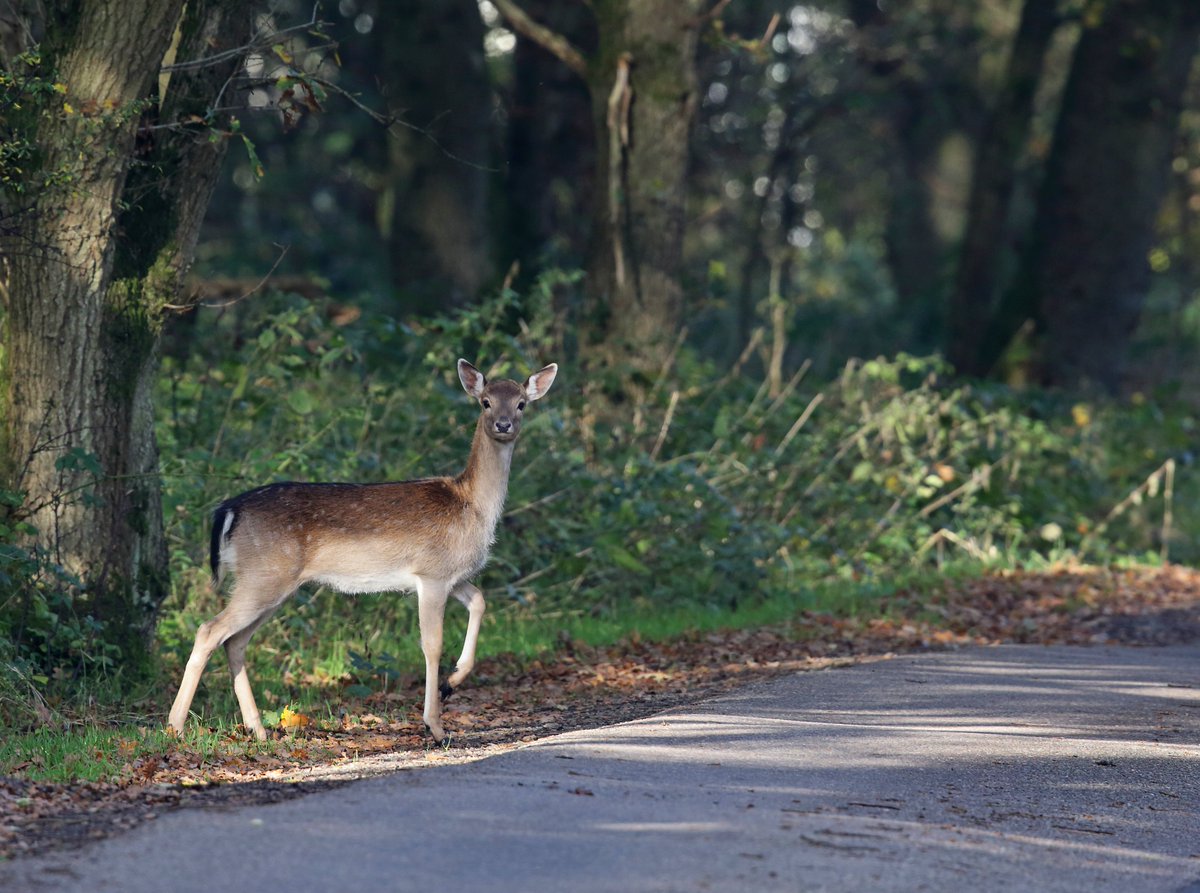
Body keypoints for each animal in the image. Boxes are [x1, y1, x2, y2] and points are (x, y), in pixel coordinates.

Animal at [168, 360, 556, 744]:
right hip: (264, 575)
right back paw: (175, 726)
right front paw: (434, 725)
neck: (471, 506)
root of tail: (229, 510)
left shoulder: (453, 575)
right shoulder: (431, 572)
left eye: (521, 403)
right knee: (209, 631)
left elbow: (480, 601)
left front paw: (451, 682)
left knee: (235, 642)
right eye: (485, 402)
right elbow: (432, 644)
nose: (503, 424)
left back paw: (258, 730)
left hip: (270, 583)